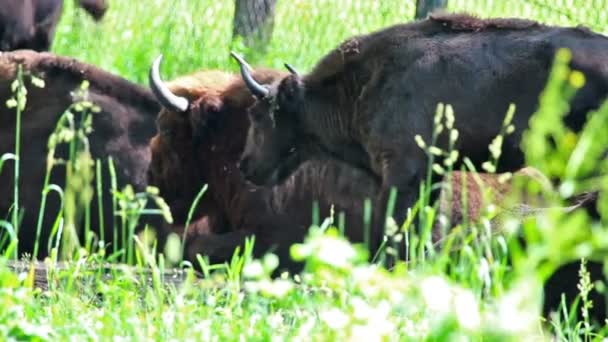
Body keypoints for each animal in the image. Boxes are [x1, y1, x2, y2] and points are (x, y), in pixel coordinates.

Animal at [233, 12, 608, 260]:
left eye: (258, 115)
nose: (244, 165)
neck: (364, 83)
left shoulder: (403, 175)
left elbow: (397, 230)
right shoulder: (433, 174)